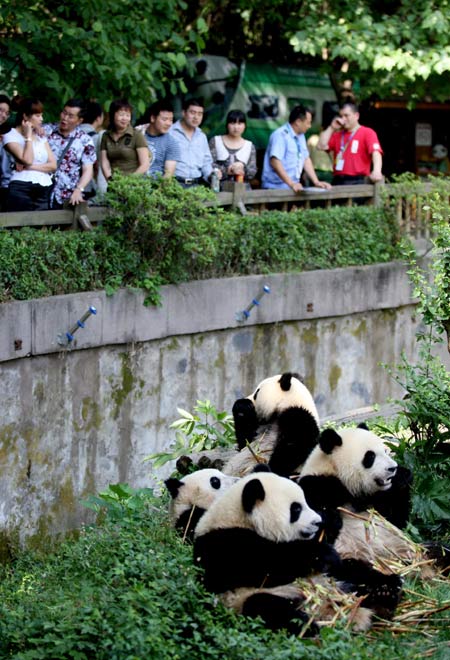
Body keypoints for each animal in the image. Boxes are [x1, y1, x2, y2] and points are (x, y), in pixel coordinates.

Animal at [194, 468, 402, 634]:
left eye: (306, 502)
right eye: (296, 509)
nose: (317, 521)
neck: (238, 517)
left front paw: (330, 522)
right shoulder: (222, 543)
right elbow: (266, 566)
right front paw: (320, 553)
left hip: (335, 579)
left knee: (356, 573)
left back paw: (386, 590)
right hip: (244, 599)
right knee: (266, 607)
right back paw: (308, 625)